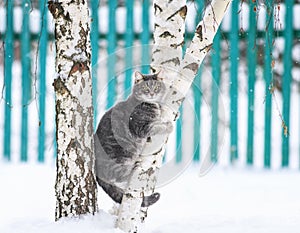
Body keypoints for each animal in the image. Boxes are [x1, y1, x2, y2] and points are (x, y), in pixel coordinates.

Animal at [95, 71, 172, 208]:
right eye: (145, 88)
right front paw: (168, 125)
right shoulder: (141, 127)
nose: (151, 93)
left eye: (156, 87)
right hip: (122, 155)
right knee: (119, 176)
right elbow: (157, 126)